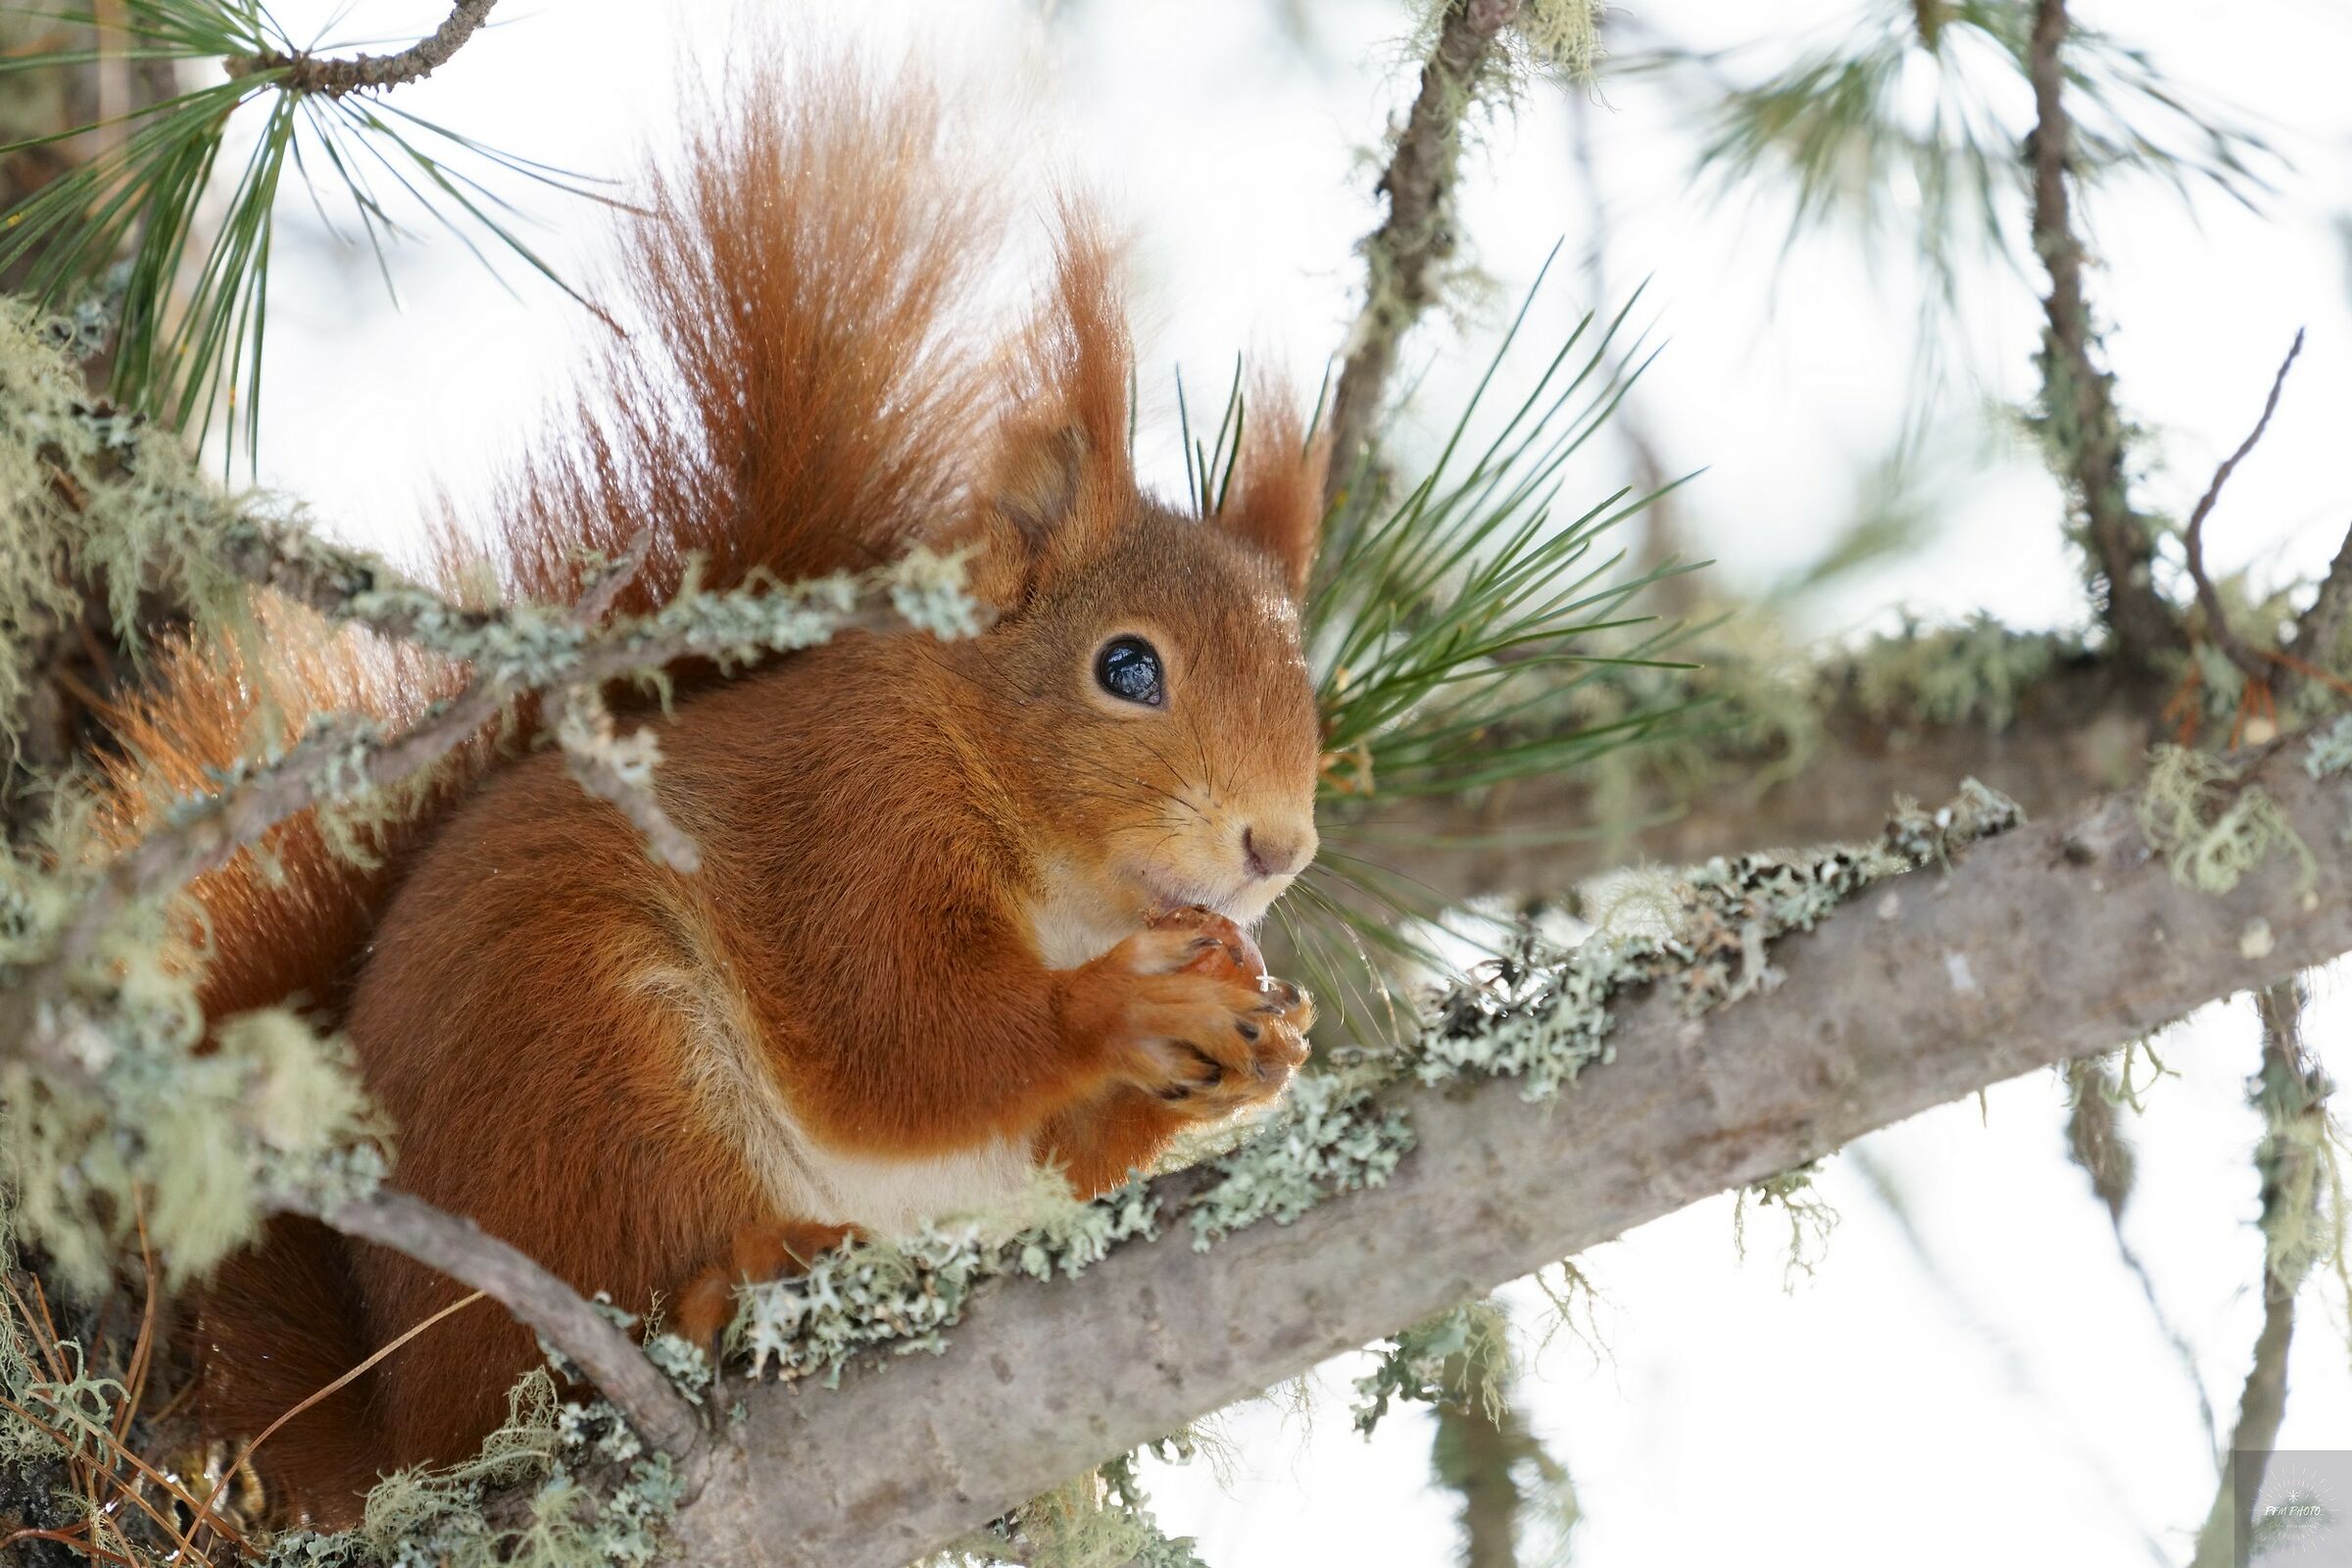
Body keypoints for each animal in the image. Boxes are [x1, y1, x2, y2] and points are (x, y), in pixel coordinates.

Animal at [95, 59, 1329, 1525]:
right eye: (1127, 666)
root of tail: (396, 1423)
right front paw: (1125, 1007)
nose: (1278, 845)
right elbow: (897, 1035)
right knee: (589, 1316)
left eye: (1308, 678)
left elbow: (1032, 1151)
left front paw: (1250, 1052)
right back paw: (734, 1276)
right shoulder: (851, 820)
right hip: (598, 1059)